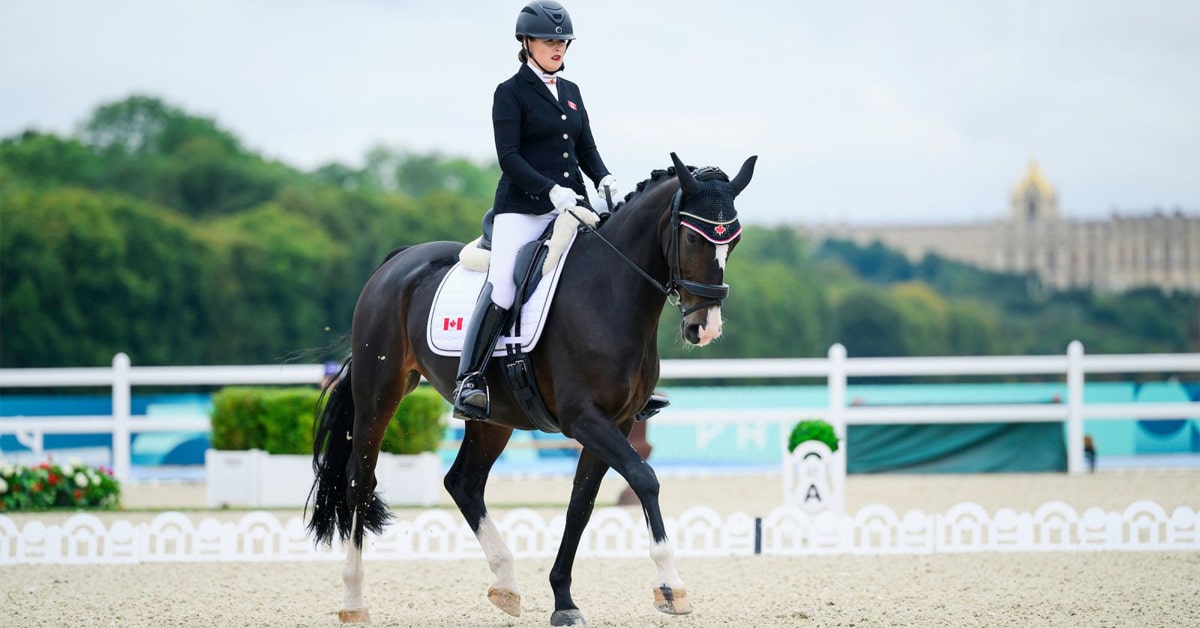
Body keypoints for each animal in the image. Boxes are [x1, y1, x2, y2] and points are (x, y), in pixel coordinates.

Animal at [309, 151, 758, 624]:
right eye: (692, 239)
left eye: (733, 243)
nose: (704, 328)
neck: (610, 290)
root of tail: (395, 263)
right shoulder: (584, 419)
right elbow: (644, 477)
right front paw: (670, 586)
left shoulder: (613, 423)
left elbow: (580, 505)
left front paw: (564, 600)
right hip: (379, 394)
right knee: (361, 481)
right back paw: (354, 601)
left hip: (493, 418)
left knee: (463, 483)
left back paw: (506, 583)